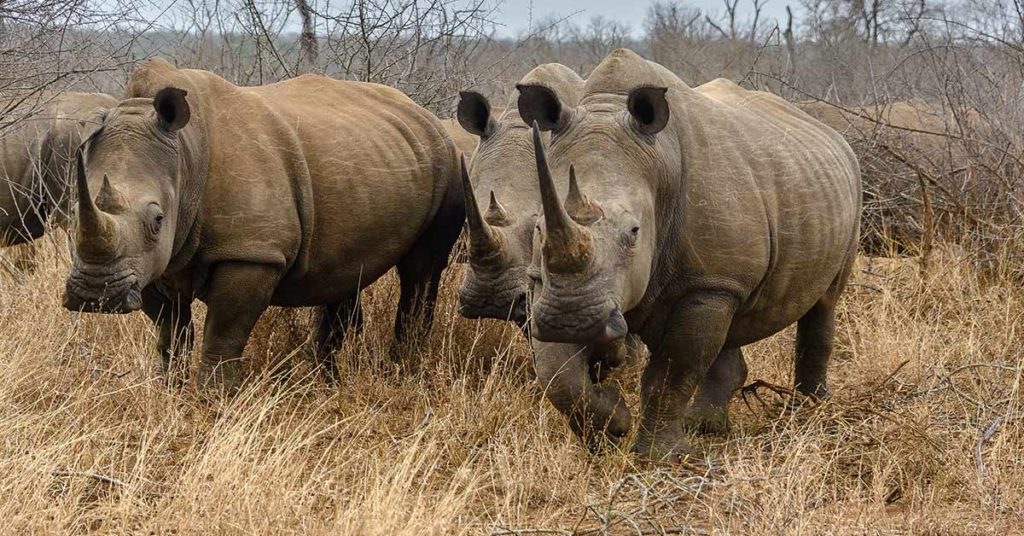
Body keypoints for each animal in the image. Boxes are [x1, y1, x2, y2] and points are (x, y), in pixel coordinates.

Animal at [63, 58, 464, 390]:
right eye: (74, 212)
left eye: (158, 220)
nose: (95, 295)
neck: (185, 155)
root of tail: (424, 114)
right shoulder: (148, 263)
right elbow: (170, 332)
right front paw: (168, 391)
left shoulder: (252, 252)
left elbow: (224, 331)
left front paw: (213, 399)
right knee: (346, 271)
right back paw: (328, 383)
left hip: (449, 163)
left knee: (422, 270)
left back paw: (402, 374)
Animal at [521, 49, 861, 461]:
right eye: (538, 227)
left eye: (633, 233)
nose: (570, 319)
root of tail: (834, 136)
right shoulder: (547, 284)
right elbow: (556, 374)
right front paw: (611, 426)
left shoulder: (707, 283)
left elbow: (673, 372)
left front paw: (656, 457)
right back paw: (706, 426)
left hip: (848, 189)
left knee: (825, 302)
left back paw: (810, 409)